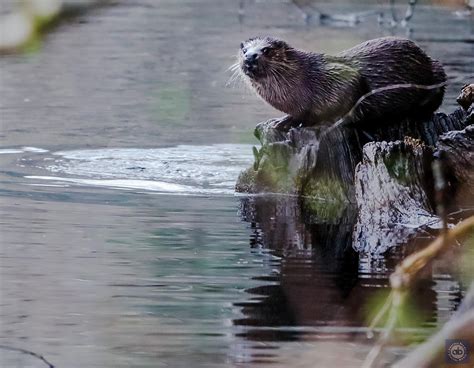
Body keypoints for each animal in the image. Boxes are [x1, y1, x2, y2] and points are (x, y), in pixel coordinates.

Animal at [239, 36, 446, 131]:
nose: (250, 56)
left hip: (437, 72)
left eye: (265, 50)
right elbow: (298, 115)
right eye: (244, 51)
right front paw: (281, 122)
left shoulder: (342, 77)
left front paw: (327, 121)